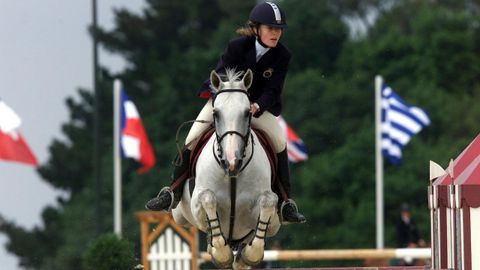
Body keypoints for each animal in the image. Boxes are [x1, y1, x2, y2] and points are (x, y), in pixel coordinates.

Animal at [172, 68, 280, 268]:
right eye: (216, 113)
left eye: (247, 113)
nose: (231, 161)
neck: (232, 174)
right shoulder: (198, 201)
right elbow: (208, 198)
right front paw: (221, 253)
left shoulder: (266, 212)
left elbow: (268, 202)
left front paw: (250, 254)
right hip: (179, 215)